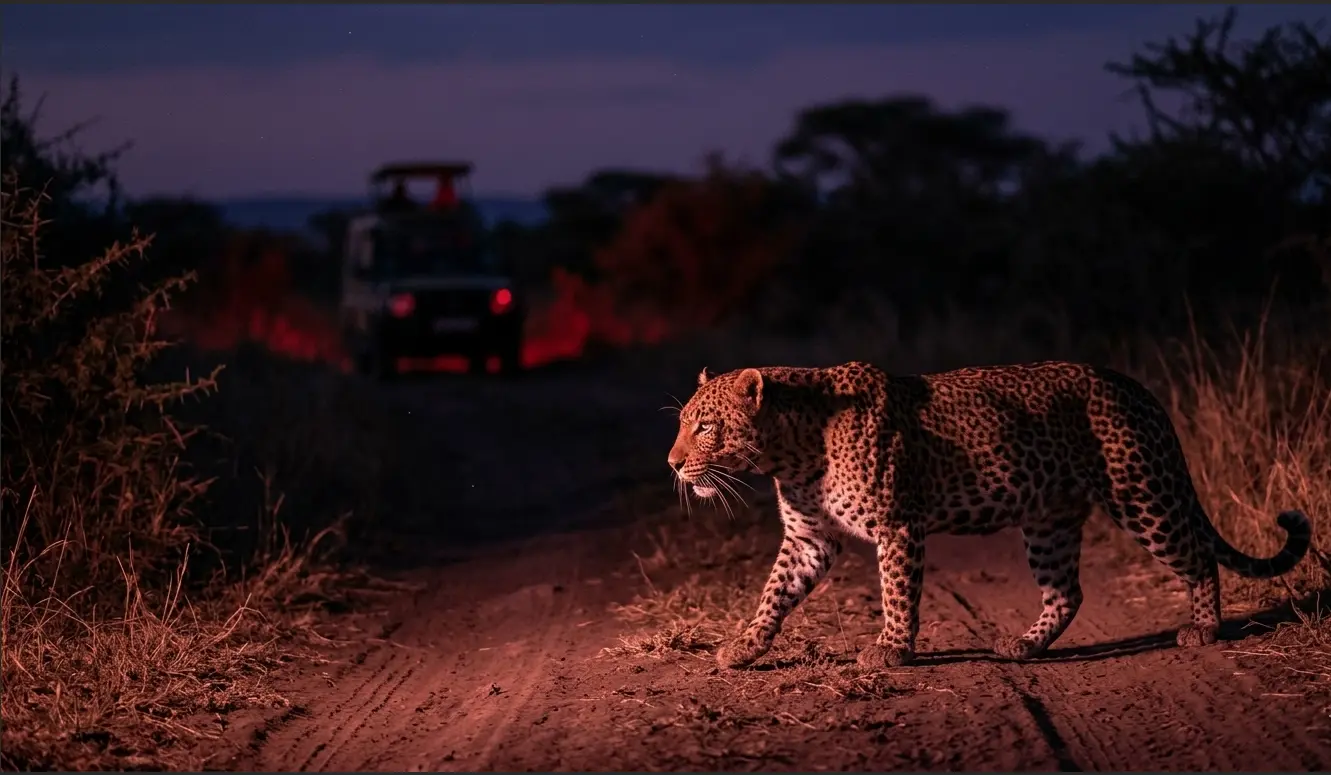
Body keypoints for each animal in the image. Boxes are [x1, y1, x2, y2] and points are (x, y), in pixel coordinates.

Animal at [665, 360, 1313, 670]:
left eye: (706, 426)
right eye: (684, 423)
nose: (672, 463)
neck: (792, 450)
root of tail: (1137, 388)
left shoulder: (897, 525)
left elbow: (897, 593)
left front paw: (892, 649)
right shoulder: (808, 539)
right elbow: (772, 593)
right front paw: (744, 647)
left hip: (1141, 494)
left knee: (1198, 555)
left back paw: (1204, 629)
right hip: (1049, 519)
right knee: (1067, 591)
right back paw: (1023, 646)